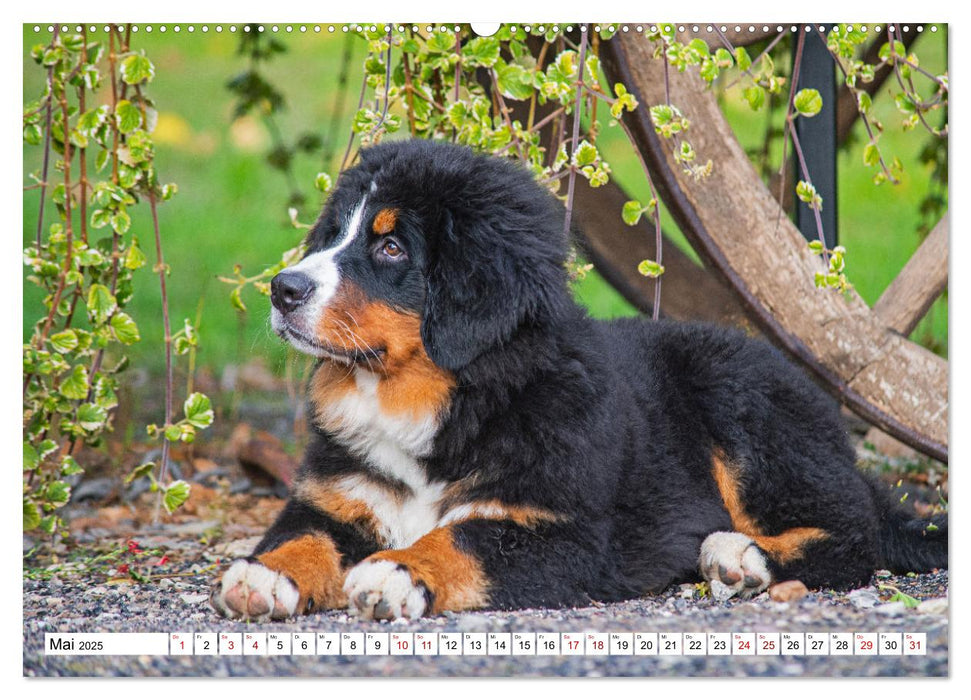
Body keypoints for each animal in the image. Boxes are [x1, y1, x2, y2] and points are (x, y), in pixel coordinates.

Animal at [213, 139, 948, 620]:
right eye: (333, 234)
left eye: (390, 247)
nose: (283, 290)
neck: (441, 400)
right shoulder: (333, 499)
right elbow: (303, 536)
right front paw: (266, 576)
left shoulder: (559, 531)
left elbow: (461, 538)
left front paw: (396, 572)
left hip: (744, 412)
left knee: (853, 534)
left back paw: (740, 556)